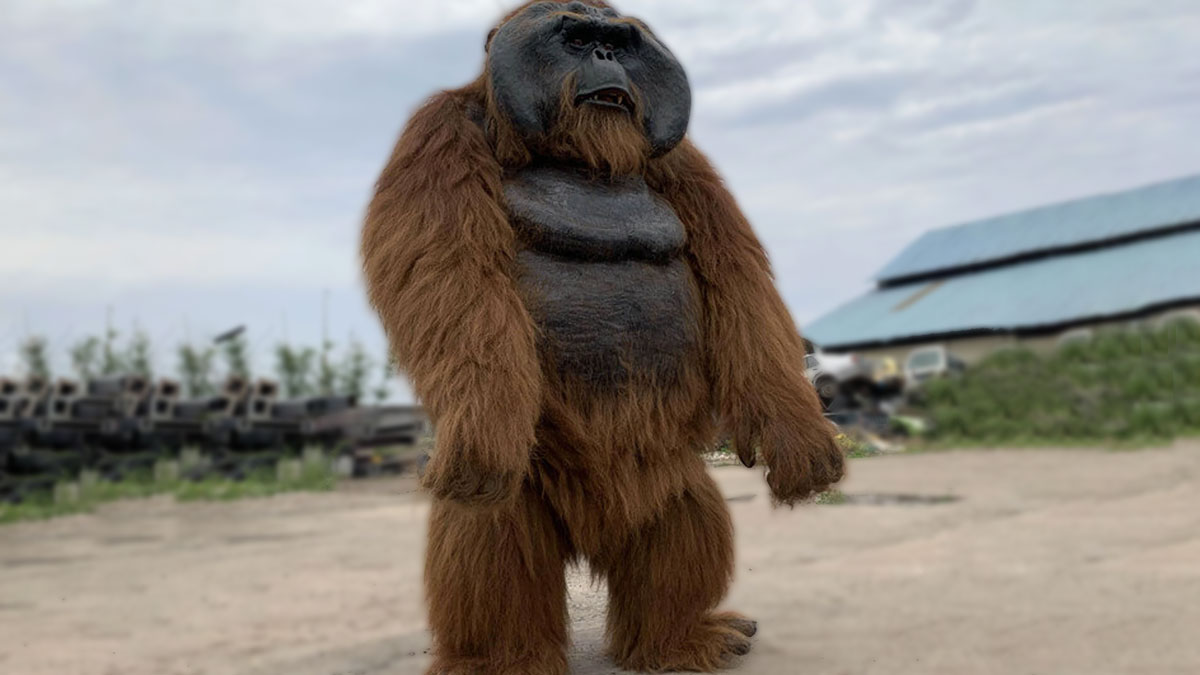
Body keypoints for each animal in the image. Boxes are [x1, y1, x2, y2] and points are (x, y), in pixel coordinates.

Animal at [361, 1, 845, 672]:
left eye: (618, 40)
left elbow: (738, 282)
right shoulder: (439, 133)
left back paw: (680, 640)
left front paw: (801, 440)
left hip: (663, 472)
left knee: (684, 511)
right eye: (575, 37)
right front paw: (482, 434)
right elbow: (451, 268)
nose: (606, 55)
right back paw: (501, 659)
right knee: (495, 527)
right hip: (534, 473)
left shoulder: (685, 165)